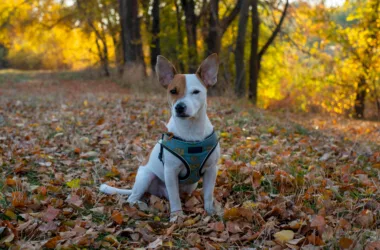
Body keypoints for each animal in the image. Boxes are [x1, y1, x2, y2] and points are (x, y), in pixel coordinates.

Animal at [99, 53, 221, 221]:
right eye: (173, 91)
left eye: (196, 92)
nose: (179, 107)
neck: (190, 130)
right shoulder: (170, 172)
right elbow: (175, 198)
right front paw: (176, 217)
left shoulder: (211, 170)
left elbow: (208, 194)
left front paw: (210, 212)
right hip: (146, 177)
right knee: (132, 198)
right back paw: (141, 205)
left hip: (191, 185)